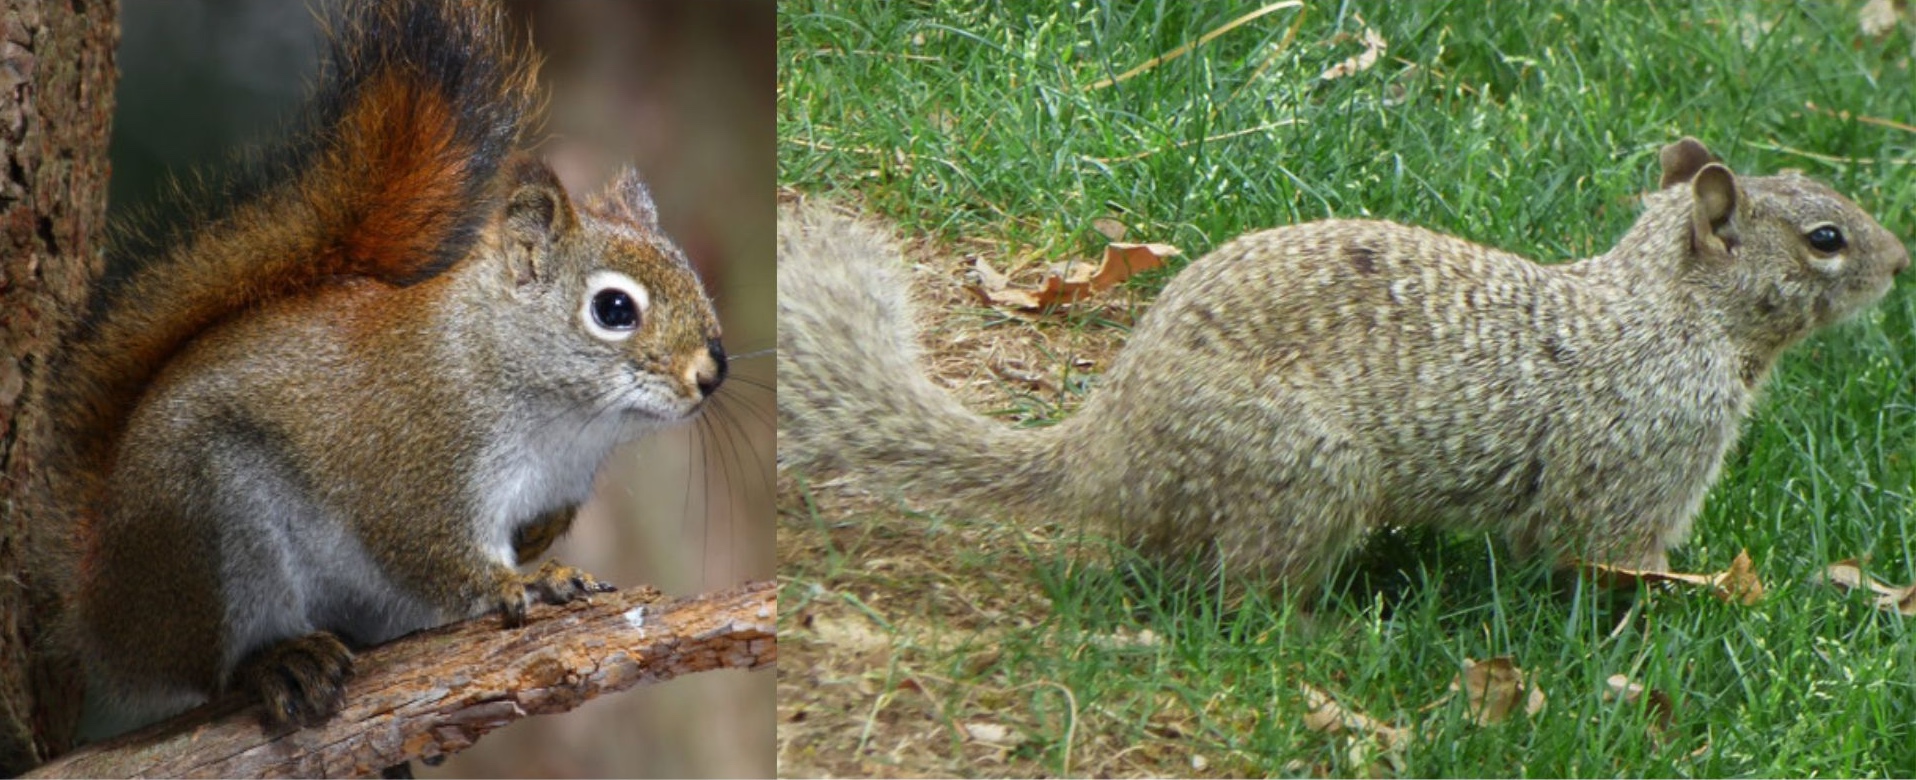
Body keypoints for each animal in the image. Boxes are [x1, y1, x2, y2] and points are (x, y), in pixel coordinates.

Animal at [774, 140, 1900, 594]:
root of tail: (1102, 454)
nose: (1901, 261)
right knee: (1240, 591)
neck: (1669, 314)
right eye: (1825, 239)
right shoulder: (1645, 470)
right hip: (1306, 472)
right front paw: (1705, 595)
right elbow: (1614, 560)